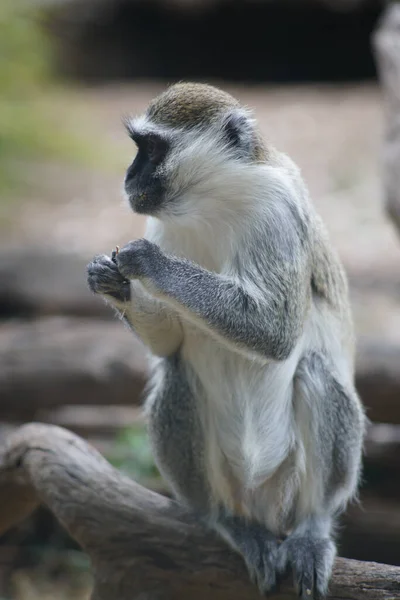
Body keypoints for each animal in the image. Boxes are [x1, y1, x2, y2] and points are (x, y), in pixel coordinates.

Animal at [87, 82, 366, 596]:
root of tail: (262, 503)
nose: (128, 175)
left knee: (316, 371)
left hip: (290, 484)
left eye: (152, 149)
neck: (211, 198)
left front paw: (149, 265)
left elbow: (275, 332)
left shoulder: (277, 211)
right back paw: (228, 522)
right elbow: (169, 345)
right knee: (177, 376)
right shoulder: (160, 221)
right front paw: (111, 281)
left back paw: (313, 528)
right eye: (139, 148)